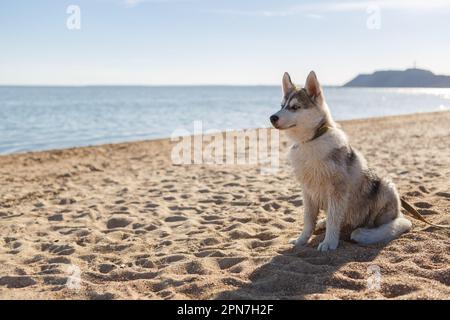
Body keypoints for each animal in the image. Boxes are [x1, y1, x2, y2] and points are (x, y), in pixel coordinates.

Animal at [268, 71, 414, 251]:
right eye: (282, 105)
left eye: (295, 107)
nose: (272, 117)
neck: (310, 141)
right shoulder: (307, 191)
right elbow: (308, 220)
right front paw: (301, 240)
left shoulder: (337, 190)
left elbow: (333, 219)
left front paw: (329, 242)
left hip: (384, 186)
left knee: (398, 223)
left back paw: (365, 233)